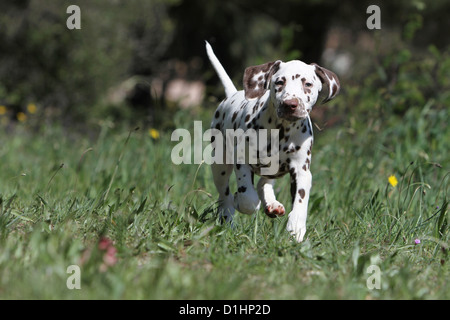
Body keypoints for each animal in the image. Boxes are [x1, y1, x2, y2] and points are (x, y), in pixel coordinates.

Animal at [206, 41, 340, 241]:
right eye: (279, 82)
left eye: (308, 84)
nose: (290, 104)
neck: (282, 131)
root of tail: (232, 94)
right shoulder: (241, 159)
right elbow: (248, 198)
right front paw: (242, 201)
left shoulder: (301, 170)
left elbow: (300, 201)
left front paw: (296, 227)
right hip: (220, 165)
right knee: (225, 196)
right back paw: (228, 216)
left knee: (263, 183)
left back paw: (272, 204)